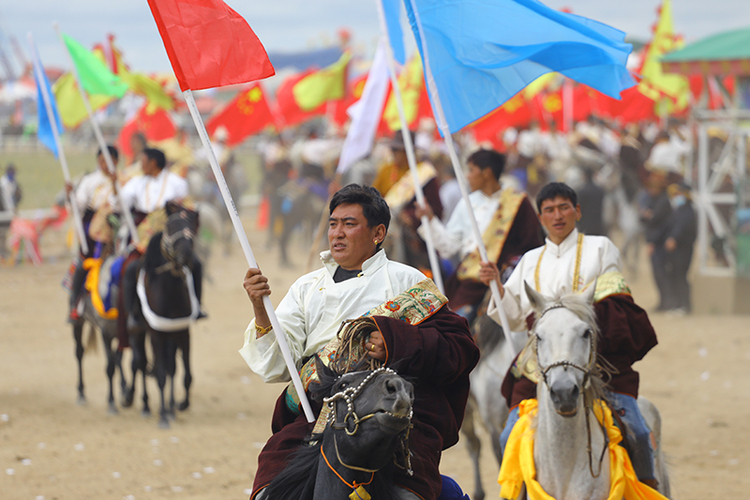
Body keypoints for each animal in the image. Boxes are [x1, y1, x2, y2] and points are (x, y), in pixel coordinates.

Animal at [126, 203, 203, 430]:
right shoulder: (156, 334)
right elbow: (159, 374)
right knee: (140, 362)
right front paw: (162, 415)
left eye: (192, 227)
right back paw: (142, 403)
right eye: (170, 226)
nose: (185, 256)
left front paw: (181, 404)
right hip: (138, 332)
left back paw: (169, 407)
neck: (170, 293)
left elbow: (184, 374)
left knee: (169, 368)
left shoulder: (182, 333)